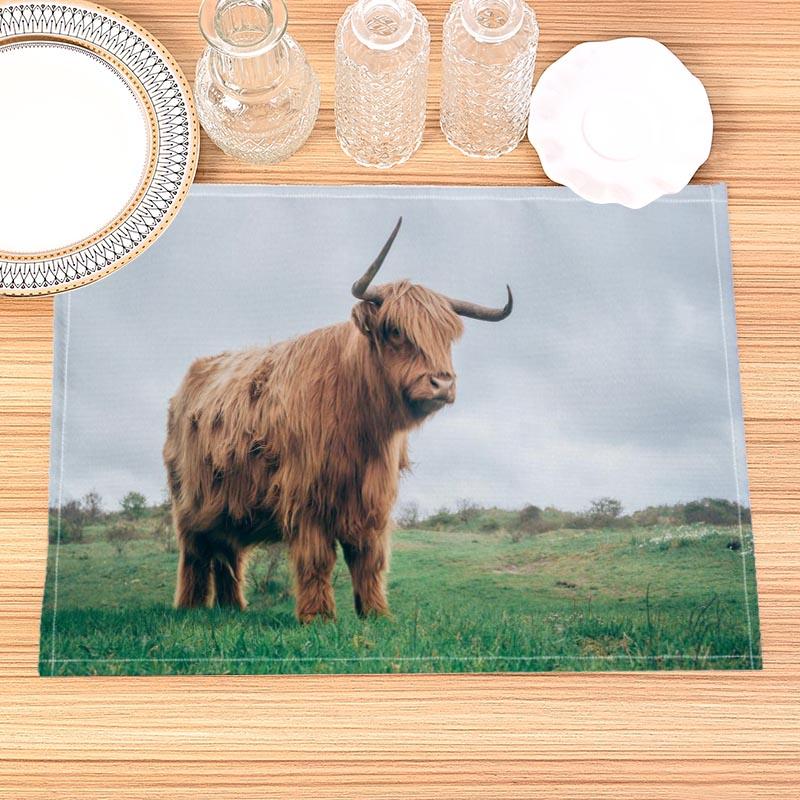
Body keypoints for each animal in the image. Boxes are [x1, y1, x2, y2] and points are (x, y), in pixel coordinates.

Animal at [163, 218, 513, 622]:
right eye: (396, 330)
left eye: (446, 337)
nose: (442, 383)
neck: (362, 427)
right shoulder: (307, 497)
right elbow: (317, 559)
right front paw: (318, 617)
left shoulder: (373, 501)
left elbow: (369, 559)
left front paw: (376, 613)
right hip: (189, 503)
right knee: (195, 553)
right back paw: (190, 608)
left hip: (228, 505)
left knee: (228, 554)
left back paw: (232, 608)